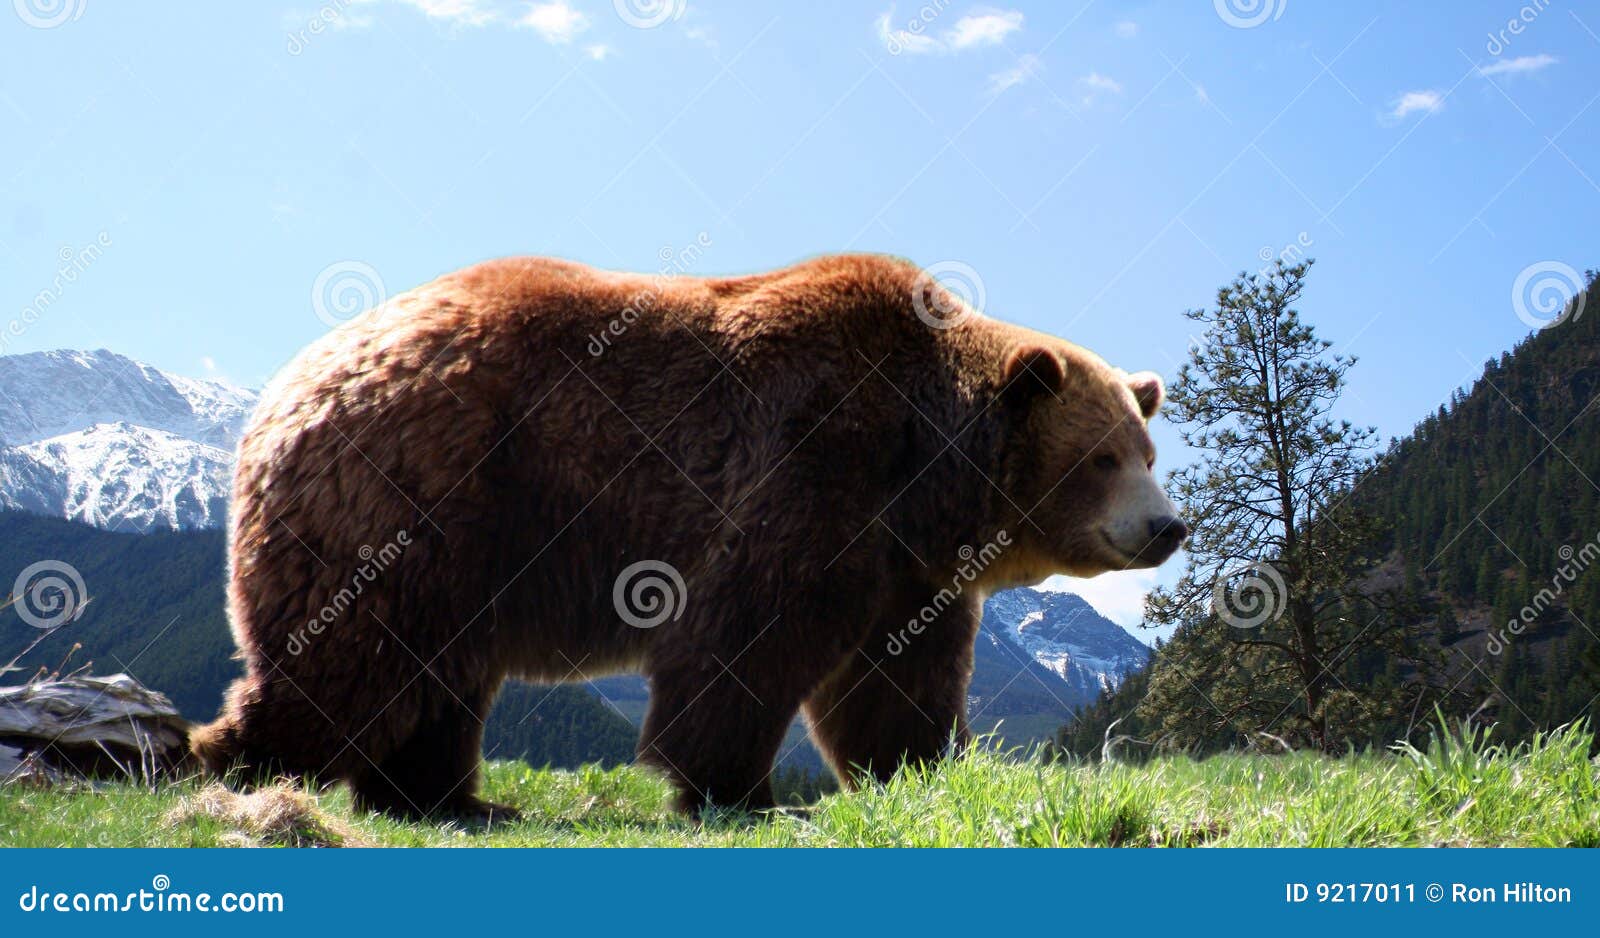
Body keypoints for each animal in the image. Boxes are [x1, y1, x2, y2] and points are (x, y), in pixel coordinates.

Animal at [190, 253, 1185, 819]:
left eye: (1146, 450)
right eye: (1101, 457)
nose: (1166, 526)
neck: (923, 464)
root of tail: (288, 385)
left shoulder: (907, 562)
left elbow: (896, 677)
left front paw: (919, 767)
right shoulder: (811, 459)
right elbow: (745, 637)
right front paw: (744, 793)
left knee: (437, 673)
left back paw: (447, 798)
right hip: (416, 491)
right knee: (354, 650)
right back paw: (236, 757)